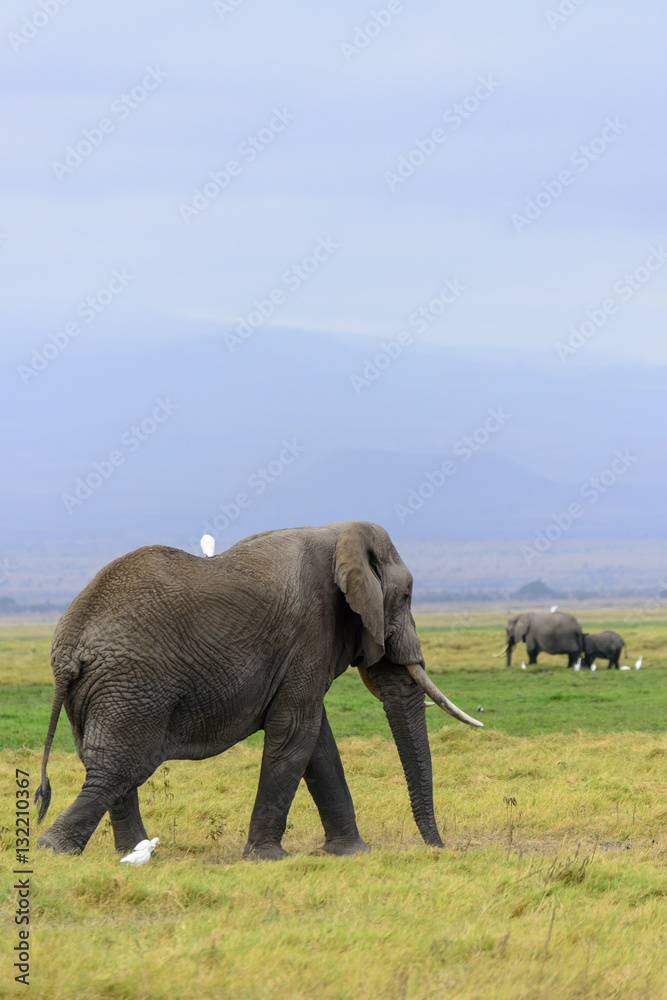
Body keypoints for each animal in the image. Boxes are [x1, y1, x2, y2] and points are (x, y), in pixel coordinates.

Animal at [36, 520, 482, 856]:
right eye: (405, 595)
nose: (439, 849)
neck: (336, 533)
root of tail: (69, 647)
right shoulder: (310, 631)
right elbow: (297, 730)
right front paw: (268, 857)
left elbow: (317, 742)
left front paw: (352, 853)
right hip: (133, 687)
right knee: (119, 769)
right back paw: (54, 850)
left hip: (106, 691)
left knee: (110, 769)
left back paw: (135, 854)